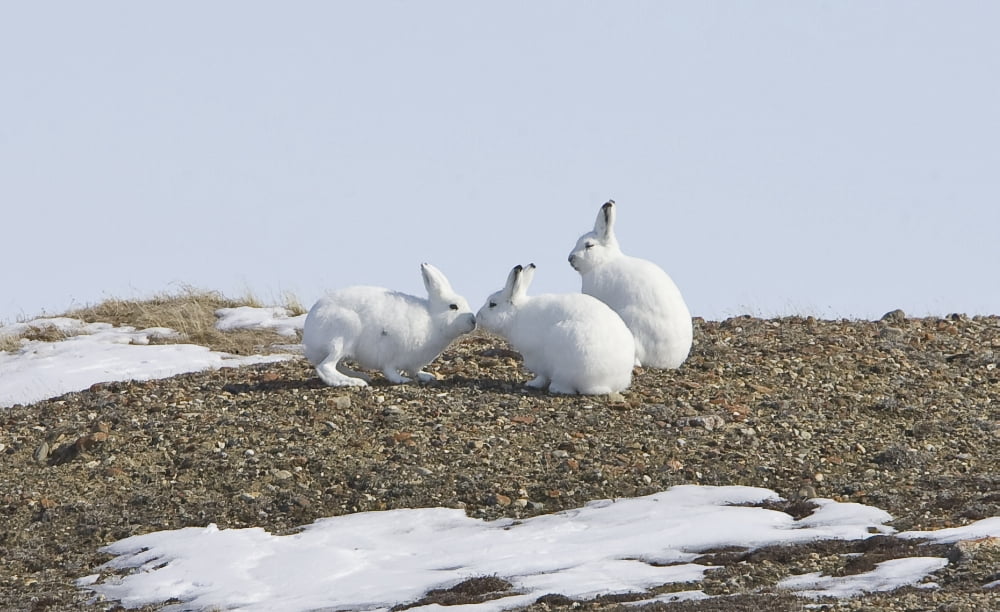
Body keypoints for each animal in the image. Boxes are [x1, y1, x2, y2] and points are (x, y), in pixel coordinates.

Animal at [302, 263, 476, 386]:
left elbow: (415, 371)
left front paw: (426, 376)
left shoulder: (414, 362)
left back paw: (360, 376)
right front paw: (401, 380)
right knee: (325, 366)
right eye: (453, 307)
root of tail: (309, 334)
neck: (433, 319)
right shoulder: (390, 353)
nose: (473, 321)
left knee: (335, 365)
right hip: (344, 334)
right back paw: (352, 382)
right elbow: (390, 370)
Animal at [476, 263, 635, 395]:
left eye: (492, 304)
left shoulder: (537, 357)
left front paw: (533, 384)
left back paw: (556, 388)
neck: (517, 314)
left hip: (567, 355)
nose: (478, 316)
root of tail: (608, 382)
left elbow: (542, 376)